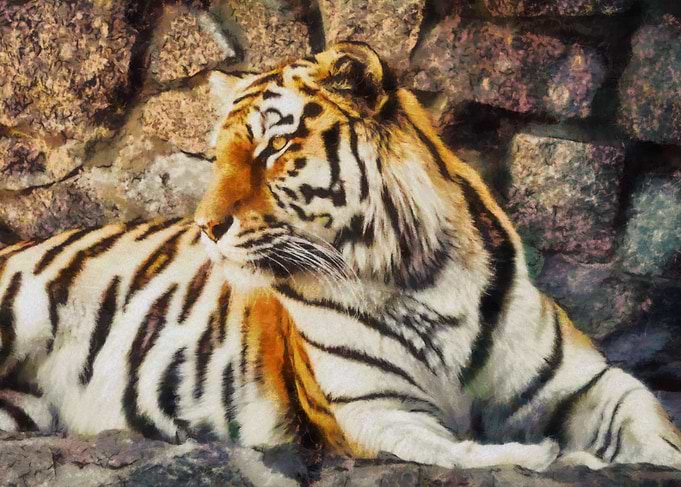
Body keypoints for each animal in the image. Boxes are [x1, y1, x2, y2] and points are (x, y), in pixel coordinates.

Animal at [0, 42, 679, 473]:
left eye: (274, 147)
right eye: (217, 155)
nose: (205, 227)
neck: (419, 277)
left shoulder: (592, 381)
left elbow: (654, 424)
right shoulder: (374, 411)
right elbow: (460, 451)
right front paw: (549, 456)